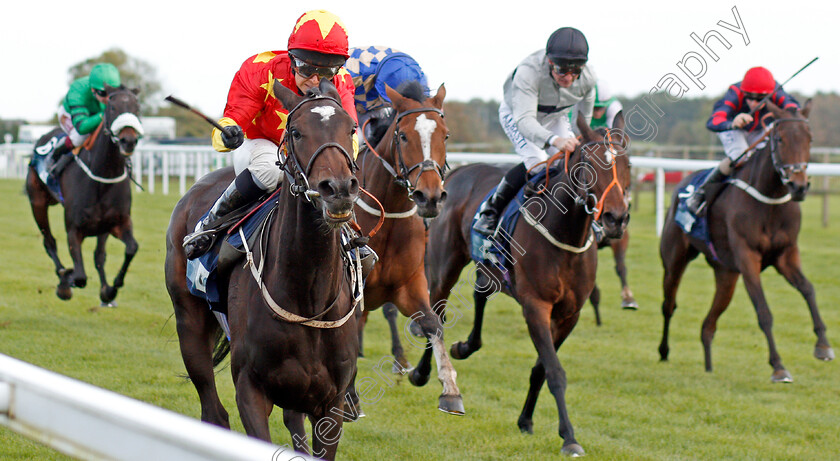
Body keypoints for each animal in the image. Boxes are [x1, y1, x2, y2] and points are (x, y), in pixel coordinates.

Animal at [25, 85, 142, 306]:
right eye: (112, 107)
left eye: (137, 108)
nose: (128, 140)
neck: (103, 177)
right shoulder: (74, 229)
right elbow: (80, 277)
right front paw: (66, 281)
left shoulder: (116, 223)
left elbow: (127, 249)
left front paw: (110, 290)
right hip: (38, 202)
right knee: (49, 241)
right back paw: (63, 277)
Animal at [165, 77, 360, 458]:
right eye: (296, 131)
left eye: (351, 129)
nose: (338, 189)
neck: (308, 299)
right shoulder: (251, 390)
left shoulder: (331, 404)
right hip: (190, 323)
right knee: (214, 412)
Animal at [352, 82, 462, 414]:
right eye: (402, 136)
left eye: (445, 135)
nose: (430, 196)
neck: (387, 215)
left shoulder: (408, 286)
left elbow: (433, 324)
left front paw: (449, 389)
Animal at [426, 114, 632, 452]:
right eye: (588, 163)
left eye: (627, 163)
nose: (616, 219)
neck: (565, 237)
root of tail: (458, 171)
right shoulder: (536, 306)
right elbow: (555, 371)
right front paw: (570, 438)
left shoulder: (569, 315)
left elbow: (540, 369)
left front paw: (527, 421)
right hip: (445, 266)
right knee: (436, 315)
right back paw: (428, 378)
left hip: (489, 268)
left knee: (480, 293)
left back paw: (465, 347)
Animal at [660, 99, 832, 380]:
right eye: (780, 139)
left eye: (810, 138)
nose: (799, 187)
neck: (769, 200)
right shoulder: (747, 255)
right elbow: (763, 311)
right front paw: (778, 366)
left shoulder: (786, 254)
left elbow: (808, 289)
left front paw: (823, 346)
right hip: (674, 260)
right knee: (669, 304)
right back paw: (663, 351)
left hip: (726, 275)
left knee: (708, 325)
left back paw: (709, 367)